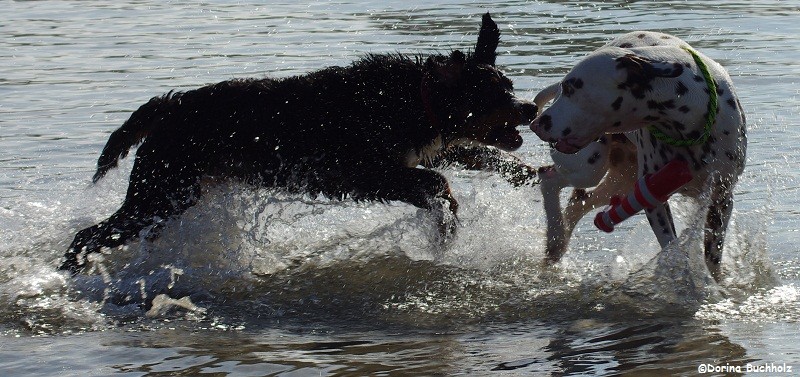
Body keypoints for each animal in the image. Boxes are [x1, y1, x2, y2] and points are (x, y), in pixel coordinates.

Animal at [61, 13, 536, 274]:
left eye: (510, 87)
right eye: (494, 95)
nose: (530, 109)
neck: (414, 100)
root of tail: (169, 105)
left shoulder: (428, 147)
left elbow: (479, 155)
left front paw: (530, 174)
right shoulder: (362, 172)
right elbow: (435, 183)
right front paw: (447, 224)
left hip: (171, 194)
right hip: (161, 194)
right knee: (88, 234)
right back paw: (68, 271)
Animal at [528, 31, 748, 280]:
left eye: (572, 87)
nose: (536, 124)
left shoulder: (721, 199)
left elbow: (713, 257)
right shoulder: (653, 201)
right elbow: (670, 245)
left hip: (621, 182)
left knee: (577, 201)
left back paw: (558, 244)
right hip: (588, 167)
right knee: (549, 178)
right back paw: (555, 237)